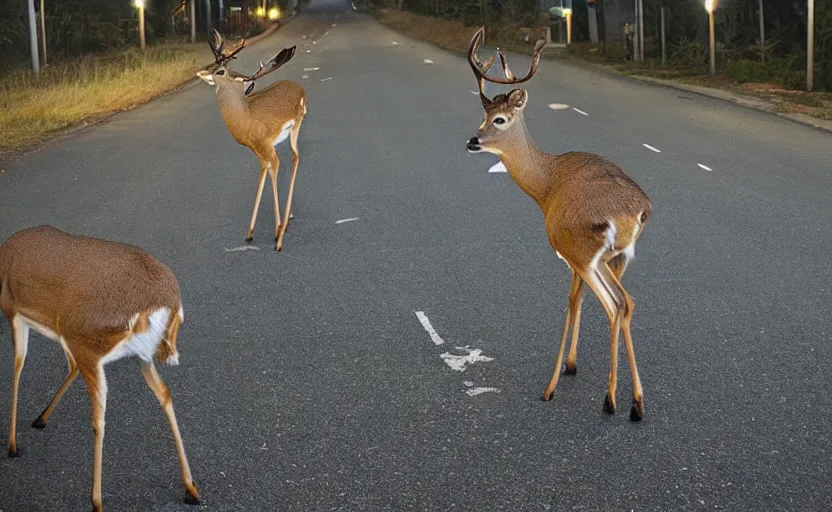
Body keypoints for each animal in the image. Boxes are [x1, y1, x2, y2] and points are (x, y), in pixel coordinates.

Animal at [1, 227, 200, 512]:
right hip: (140, 356)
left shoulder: (14, 312)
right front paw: (40, 419)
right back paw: (191, 488)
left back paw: (96, 501)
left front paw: (12, 445)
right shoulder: (58, 333)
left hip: (88, 343)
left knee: (99, 417)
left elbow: (18, 367)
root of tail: (166, 301)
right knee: (164, 394)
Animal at [197, 28, 308, 252]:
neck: (245, 118)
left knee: (295, 156)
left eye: (220, 71)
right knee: (293, 157)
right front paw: (249, 233)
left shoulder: (266, 145)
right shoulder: (256, 150)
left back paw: (283, 227)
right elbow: (263, 173)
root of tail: (301, 89)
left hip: (297, 123)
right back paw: (287, 220)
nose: (202, 72)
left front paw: (277, 237)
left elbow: (274, 170)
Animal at [464, 27, 652, 420]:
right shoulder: (580, 257)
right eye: (483, 117)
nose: (472, 140)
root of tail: (638, 209)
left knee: (616, 304)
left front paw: (552, 385)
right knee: (626, 305)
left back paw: (611, 400)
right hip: (618, 256)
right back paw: (636, 403)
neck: (547, 186)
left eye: (499, 120)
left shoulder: (565, 248)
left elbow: (569, 301)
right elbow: (576, 299)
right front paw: (571, 364)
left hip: (589, 253)